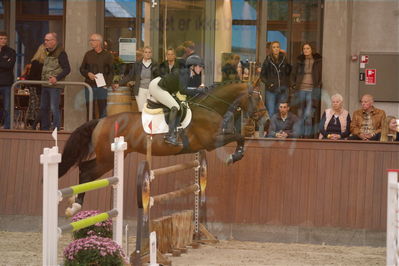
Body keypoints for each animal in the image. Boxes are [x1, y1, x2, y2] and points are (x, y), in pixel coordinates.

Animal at [58, 78, 266, 213]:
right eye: (257, 98)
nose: (266, 118)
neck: (210, 107)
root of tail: (101, 121)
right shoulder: (211, 141)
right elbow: (240, 136)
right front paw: (234, 156)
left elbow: (239, 137)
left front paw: (236, 155)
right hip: (107, 158)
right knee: (86, 170)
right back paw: (75, 205)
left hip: (112, 157)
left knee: (86, 169)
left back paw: (74, 203)